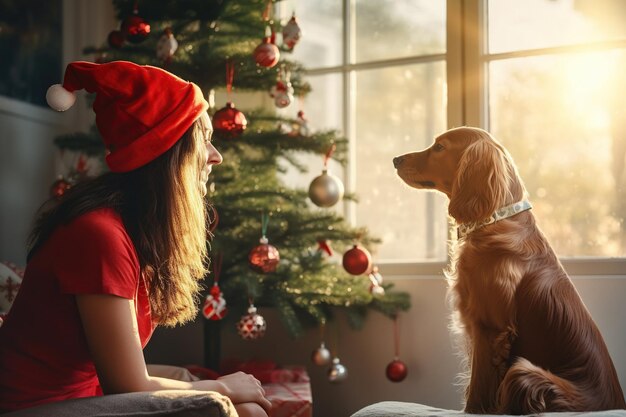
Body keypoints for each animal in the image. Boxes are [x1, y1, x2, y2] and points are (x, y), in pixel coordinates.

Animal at [392, 127, 620, 412]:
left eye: (440, 147)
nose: (395, 160)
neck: (493, 220)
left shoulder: (489, 327)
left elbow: (477, 389)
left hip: (523, 372)